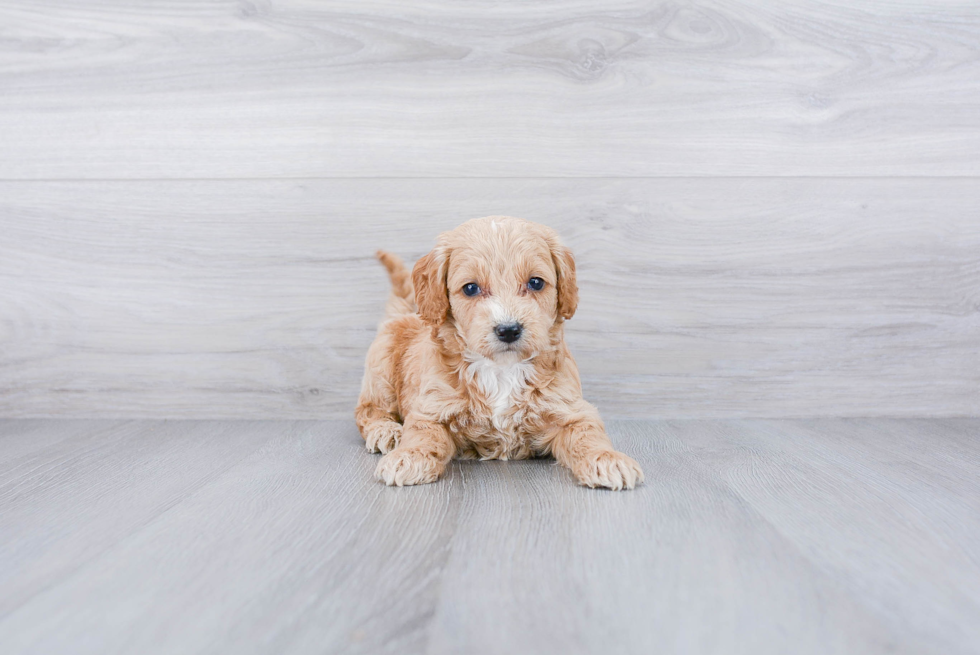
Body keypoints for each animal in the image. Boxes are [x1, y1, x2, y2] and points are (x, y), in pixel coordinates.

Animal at [352, 218, 644, 490]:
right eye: (470, 288)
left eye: (536, 282)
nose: (509, 330)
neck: (502, 369)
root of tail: (404, 311)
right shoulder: (432, 407)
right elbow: (422, 433)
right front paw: (409, 456)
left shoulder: (569, 408)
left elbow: (588, 434)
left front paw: (607, 459)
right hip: (380, 370)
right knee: (369, 411)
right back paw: (387, 431)